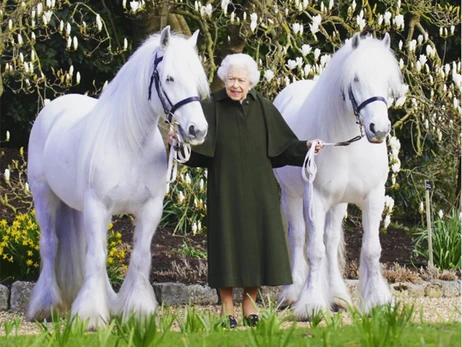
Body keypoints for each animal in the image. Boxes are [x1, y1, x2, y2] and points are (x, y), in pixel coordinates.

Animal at [27, 27, 209, 328]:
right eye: (169, 78)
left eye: (196, 81)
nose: (198, 130)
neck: (129, 143)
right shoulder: (97, 206)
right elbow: (96, 257)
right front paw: (90, 316)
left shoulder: (150, 209)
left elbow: (139, 257)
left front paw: (137, 311)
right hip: (44, 196)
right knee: (50, 245)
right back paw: (45, 307)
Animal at [274, 33, 404, 320]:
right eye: (355, 79)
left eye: (387, 80)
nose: (379, 129)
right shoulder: (316, 199)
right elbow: (313, 251)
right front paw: (311, 305)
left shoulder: (373, 198)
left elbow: (370, 250)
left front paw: (378, 302)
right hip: (292, 196)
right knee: (298, 236)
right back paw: (293, 293)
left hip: (339, 203)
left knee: (331, 241)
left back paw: (337, 296)